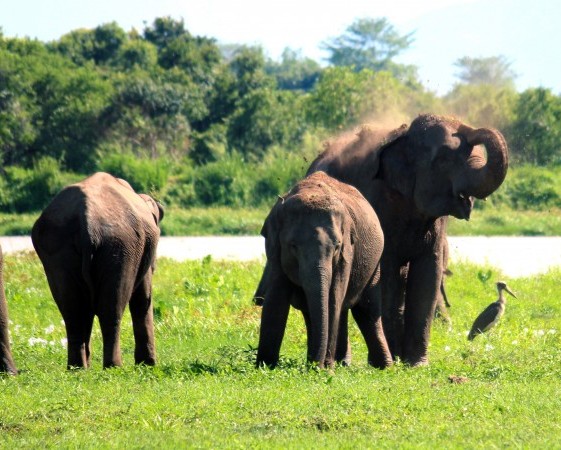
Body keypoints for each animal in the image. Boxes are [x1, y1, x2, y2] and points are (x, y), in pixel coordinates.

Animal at [32, 172, 164, 369]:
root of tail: (86, 220)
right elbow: (142, 297)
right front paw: (147, 365)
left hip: (58, 247)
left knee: (73, 310)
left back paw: (77, 368)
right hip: (119, 248)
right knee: (111, 309)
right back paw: (113, 367)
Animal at [255, 171, 393, 369]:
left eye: (336, 247)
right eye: (293, 246)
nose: (317, 366)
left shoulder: (347, 252)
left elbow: (334, 297)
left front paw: (325, 369)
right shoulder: (274, 249)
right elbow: (276, 298)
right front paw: (265, 366)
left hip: (374, 266)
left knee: (366, 310)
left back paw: (382, 367)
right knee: (312, 310)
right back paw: (337, 362)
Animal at [307, 113, 508, 366]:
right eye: (443, 160)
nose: (468, 128)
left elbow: (428, 272)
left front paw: (416, 364)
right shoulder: (379, 202)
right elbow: (388, 271)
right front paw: (398, 361)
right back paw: (347, 362)